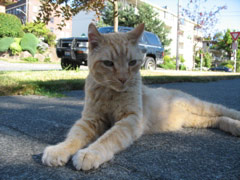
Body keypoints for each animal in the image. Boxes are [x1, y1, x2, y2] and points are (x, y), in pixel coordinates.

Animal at [42, 22, 240, 170]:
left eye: (132, 62)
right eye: (108, 63)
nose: (123, 79)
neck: (110, 93)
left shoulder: (130, 119)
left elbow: (108, 137)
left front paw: (90, 153)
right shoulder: (90, 119)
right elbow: (73, 136)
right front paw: (59, 150)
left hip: (202, 106)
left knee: (226, 111)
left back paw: (237, 123)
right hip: (194, 120)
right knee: (217, 119)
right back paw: (233, 127)